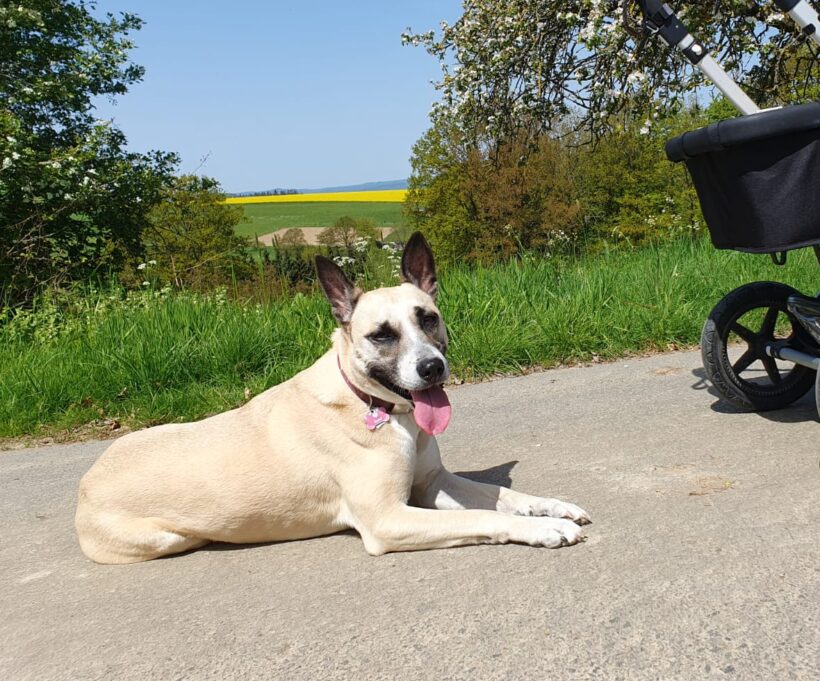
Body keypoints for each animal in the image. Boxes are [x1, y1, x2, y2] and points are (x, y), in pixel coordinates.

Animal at [77, 234, 588, 564]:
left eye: (428, 318)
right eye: (381, 335)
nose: (431, 369)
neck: (374, 405)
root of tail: (85, 483)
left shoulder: (431, 484)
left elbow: (500, 495)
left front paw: (552, 506)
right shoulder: (388, 519)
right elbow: (481, 517)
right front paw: (542, 529)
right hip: (164, 538)